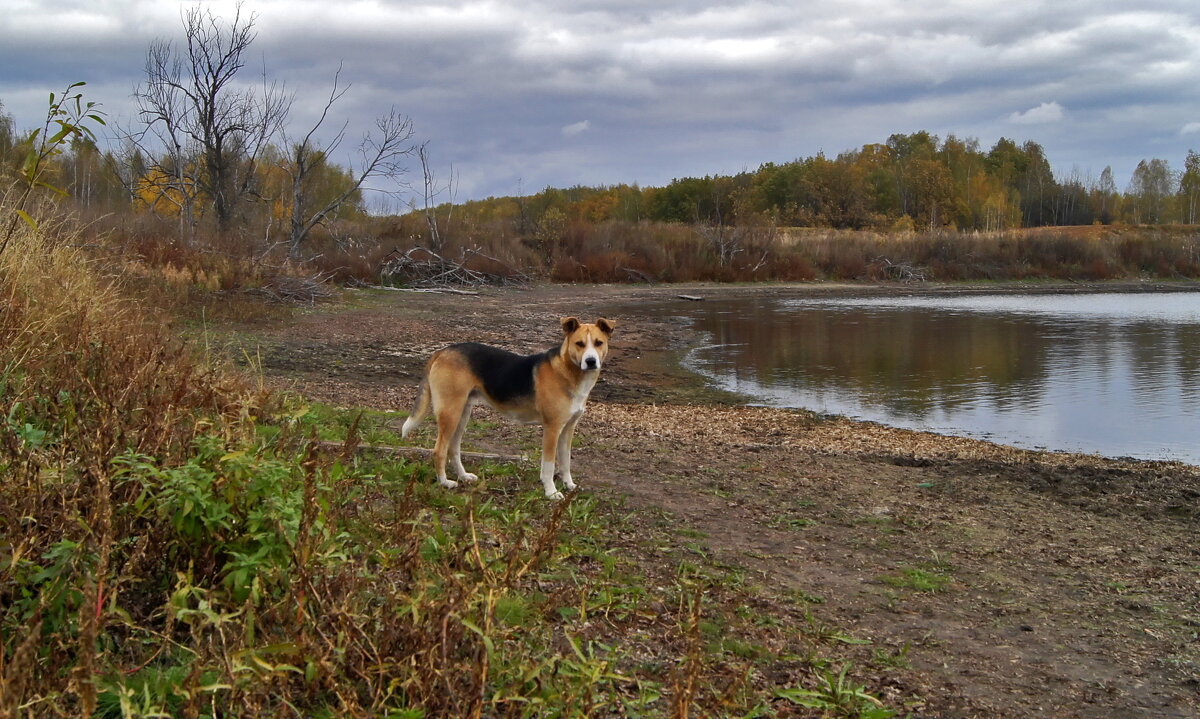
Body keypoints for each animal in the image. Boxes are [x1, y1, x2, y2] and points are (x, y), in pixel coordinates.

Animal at [400, 316, 614, 496]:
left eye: (598, 343)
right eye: (579, 344)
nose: (591, 361)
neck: (568, 372)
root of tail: (442, 351)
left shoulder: (568, 429)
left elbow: (566, 462)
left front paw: (569, 485)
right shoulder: (552, 429)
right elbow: (549, 465)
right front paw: (551, 492)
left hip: (462, 414)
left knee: (453, 449)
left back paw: (463, 476)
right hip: (450, 413)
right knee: (439, 451)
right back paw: (445, 482)